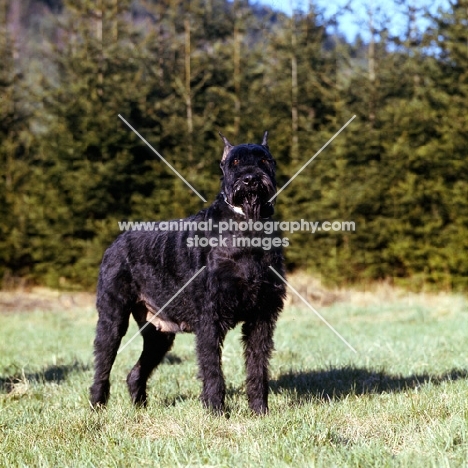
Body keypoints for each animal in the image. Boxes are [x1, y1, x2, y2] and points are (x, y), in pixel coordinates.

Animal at [88, 132, 286, 414]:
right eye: (235, 162)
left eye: (264, 160)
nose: (250, 179)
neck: (248, 230)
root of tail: (115, 242)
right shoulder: (210, 317)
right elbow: (212, 368)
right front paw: (216, 410)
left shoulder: (262, 316)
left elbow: (258, 366)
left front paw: (260, 411)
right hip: (113, 319)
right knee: (103, 364)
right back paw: (97, 406)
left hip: (158, 335)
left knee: (136, 372)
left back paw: (140, 408)